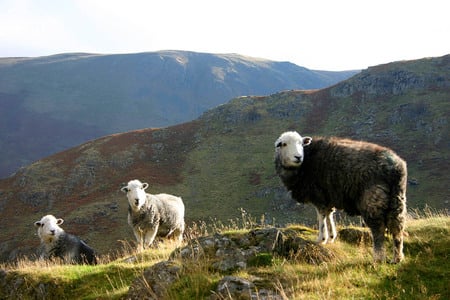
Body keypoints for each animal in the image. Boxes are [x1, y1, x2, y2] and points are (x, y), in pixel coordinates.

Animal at [274, 131, 408, 262]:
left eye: (301, 143)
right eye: (284, 144)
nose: (298, 157)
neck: (305, 163)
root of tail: (394, 167)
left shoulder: (319, 196)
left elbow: (321, 217)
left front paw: (321, 239)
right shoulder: (328, 197)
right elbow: (329, 215)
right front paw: (331, 237)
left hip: (373, 199)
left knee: (378, 228)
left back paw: (378, 258)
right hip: (397, 199)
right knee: (397, 228)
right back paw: (397, 258)